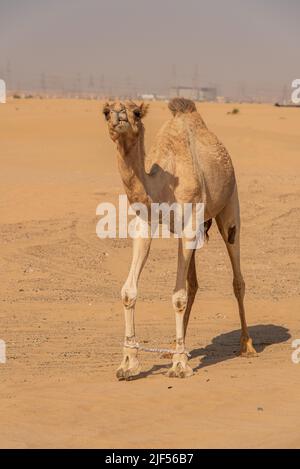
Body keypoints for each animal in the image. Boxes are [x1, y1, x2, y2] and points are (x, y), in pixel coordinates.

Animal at [102, 97, 255, 378]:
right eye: (106, 111)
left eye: (136, 112)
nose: (119, 116)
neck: (163, 184)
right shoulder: (145, 224)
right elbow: (129, 291)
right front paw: (128, 364)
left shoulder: (191, 222)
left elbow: (178, 296)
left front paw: (180, 365)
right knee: (193, 283)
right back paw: (172, 347)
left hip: (230, 205)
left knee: (237, 278)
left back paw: (247, 345)